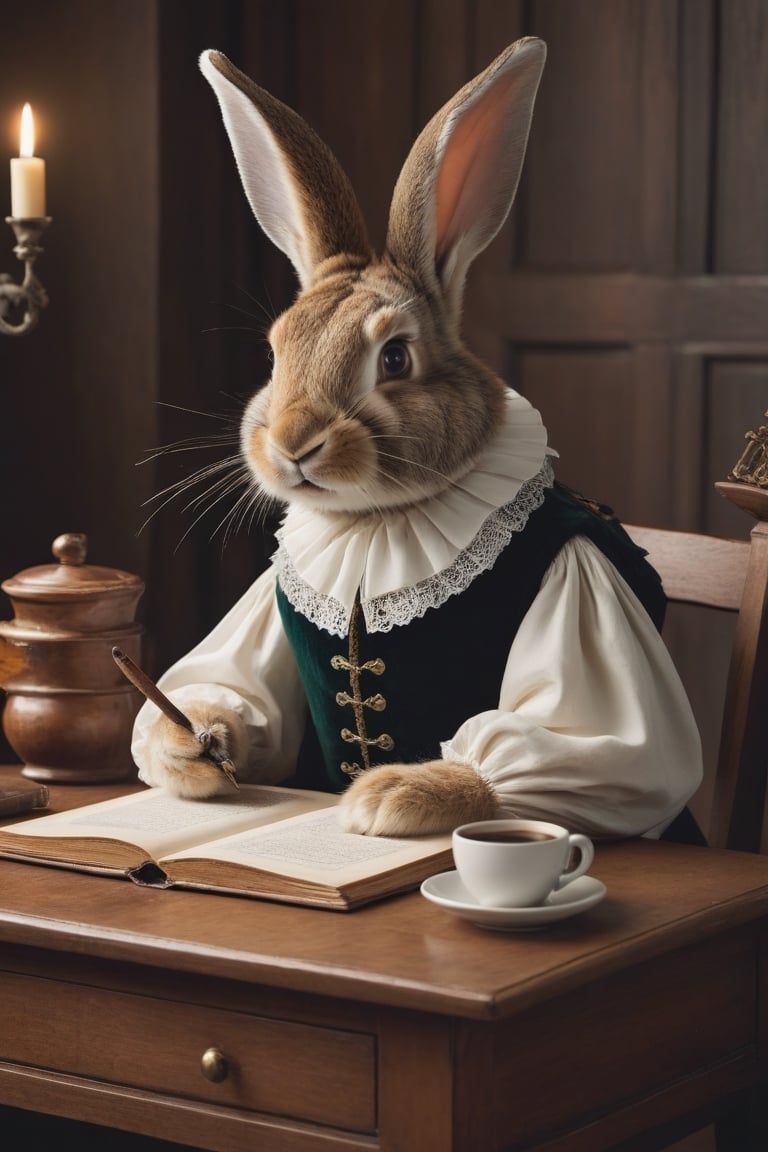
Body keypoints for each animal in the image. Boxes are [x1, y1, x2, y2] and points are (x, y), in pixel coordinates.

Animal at [133, 38, 704, 838]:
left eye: (396, 359)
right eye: (276, 354)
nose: (293, 443)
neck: (380, 524)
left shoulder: (585, 591)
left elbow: (577, 746)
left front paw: (392, 797)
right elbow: (232, 696)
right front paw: (192, 744)